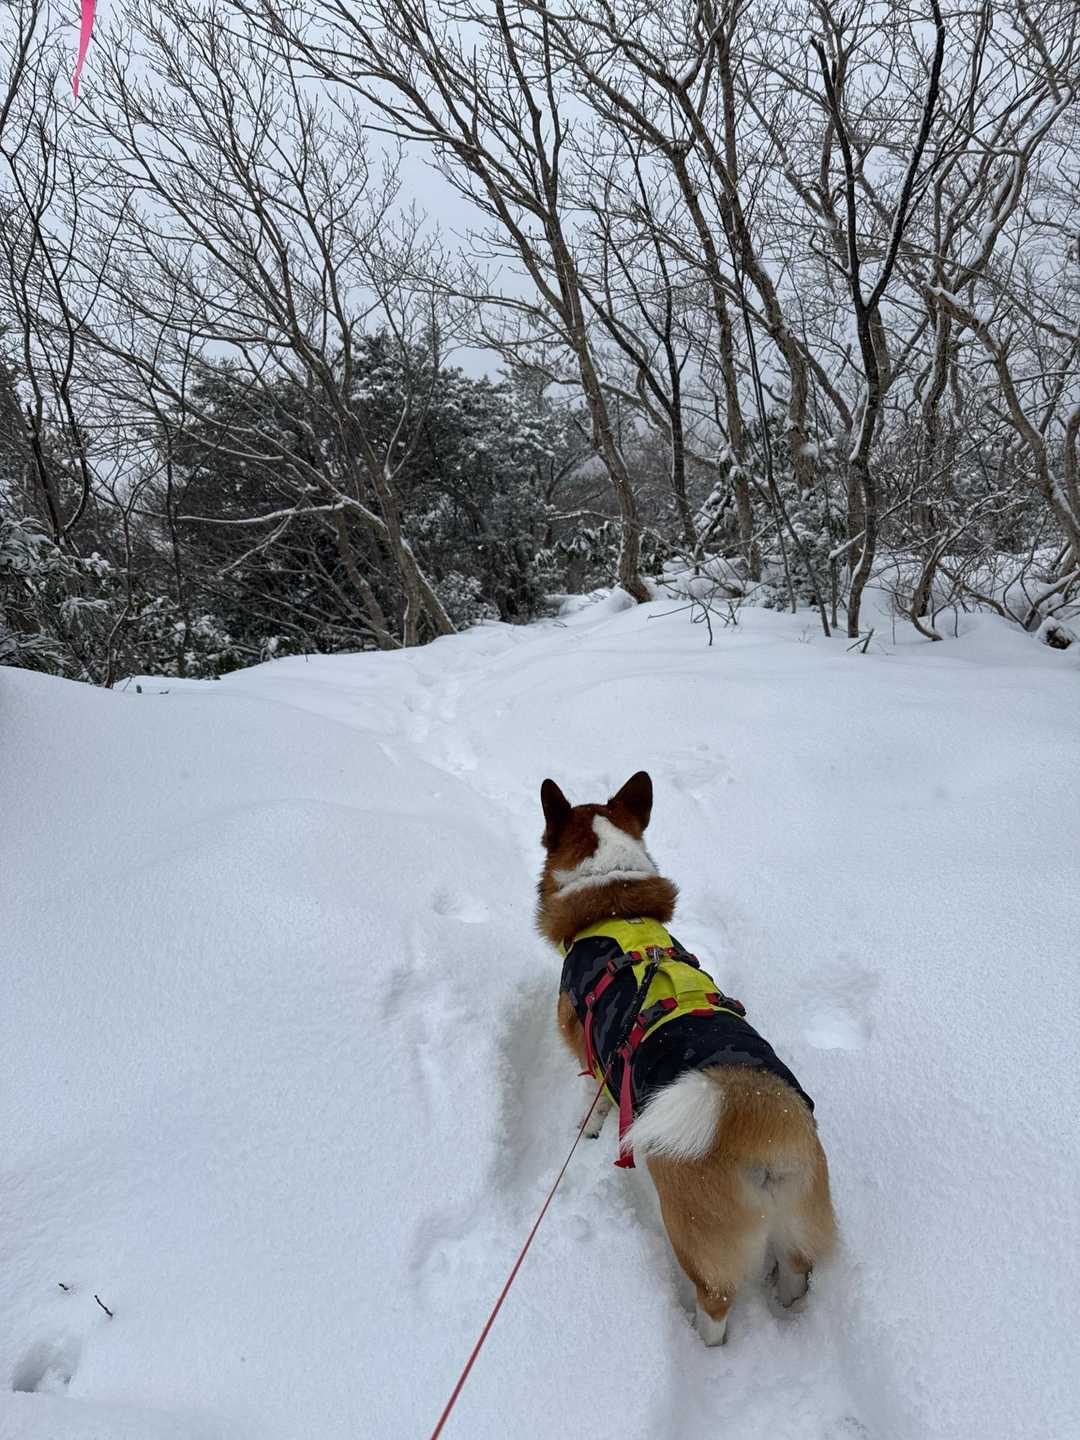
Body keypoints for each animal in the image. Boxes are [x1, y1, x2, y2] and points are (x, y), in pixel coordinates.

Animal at [536, 770, 836, 1345]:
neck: (616, 906)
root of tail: (754, 1109)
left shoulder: (590, 1055)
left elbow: (594, 1100)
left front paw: (589, 1130)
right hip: (800, 1216)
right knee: (796, 1269)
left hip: (693, 1233)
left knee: (715, 1299)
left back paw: (702, 1340)